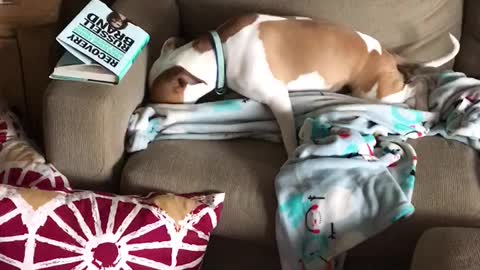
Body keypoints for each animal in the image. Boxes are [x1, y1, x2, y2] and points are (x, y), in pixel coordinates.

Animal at [148, 13, 460, 156]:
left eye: (158, 99)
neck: (218, 53)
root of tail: (387, 53)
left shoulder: (278, 99)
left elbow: (288, 134)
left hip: (377, 93)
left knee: (420, 83)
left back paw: (423, 105)